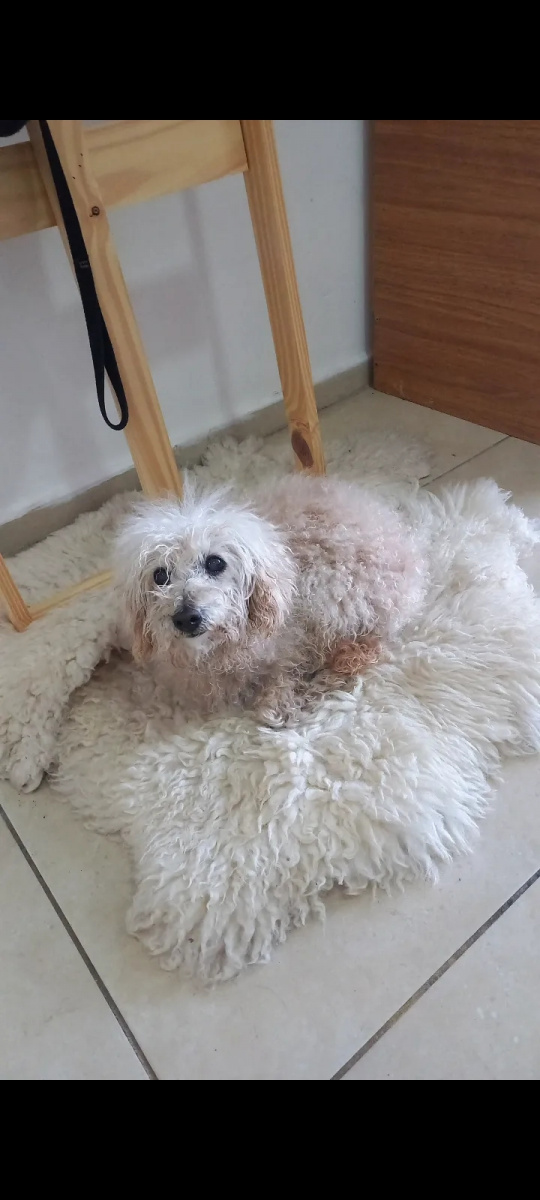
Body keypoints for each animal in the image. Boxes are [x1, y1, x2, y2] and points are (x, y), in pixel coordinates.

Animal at [115, 474, 426, 726]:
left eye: (215, 562)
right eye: (160, 575)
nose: (186, 617)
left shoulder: (294, 643)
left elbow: (277, 693)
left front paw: (293, 698)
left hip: (332, 592)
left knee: (368, 644)